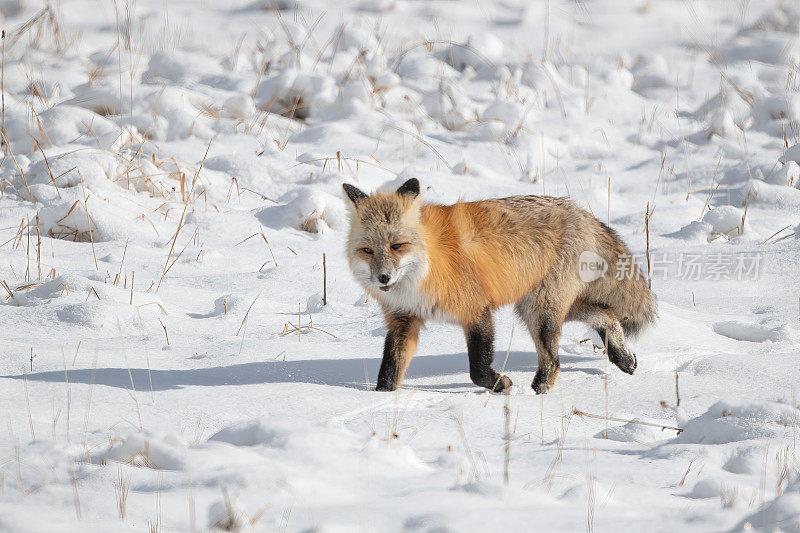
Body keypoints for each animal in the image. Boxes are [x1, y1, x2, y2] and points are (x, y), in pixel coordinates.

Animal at [342, 181, 656, 392]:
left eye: (397, 246)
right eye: (368, 251)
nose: (383, 278)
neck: (427, 267)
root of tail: (580, 211)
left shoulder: (476, 310)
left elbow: (478, 369)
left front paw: (500, 385)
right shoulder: (404, 320)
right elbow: (389, 372)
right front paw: (381, 401)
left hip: (539, 311)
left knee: (553, 361)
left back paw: (537, 392)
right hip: (543, 306)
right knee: (607, 316)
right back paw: (623, 357)